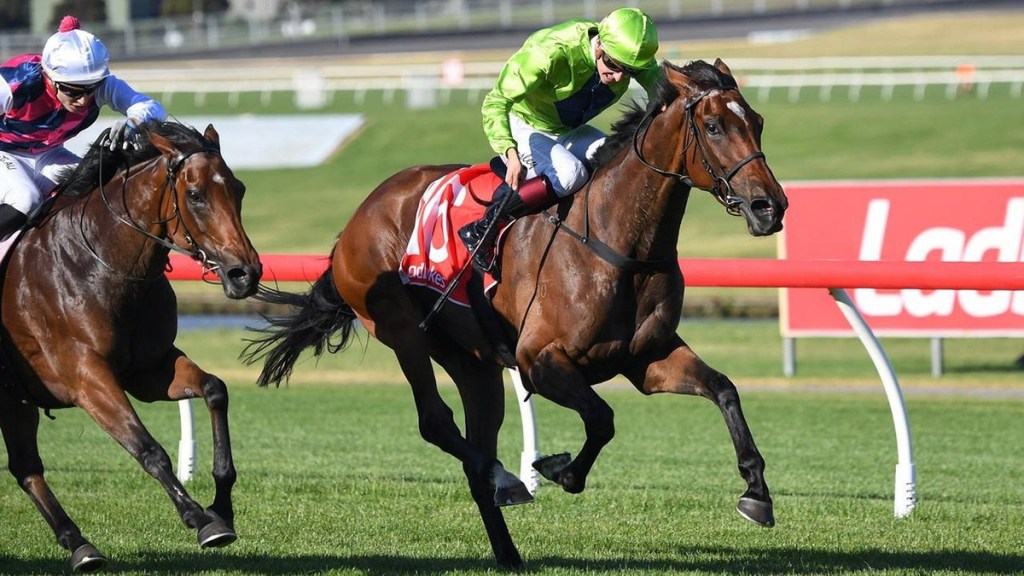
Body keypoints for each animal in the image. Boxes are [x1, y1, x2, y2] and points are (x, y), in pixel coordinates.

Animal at [0, 120, 262, 572]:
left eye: (239, 188)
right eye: (196, 195)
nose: (245, 273)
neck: (101, 263)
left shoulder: (149, 369)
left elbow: (215, 390)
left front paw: (221, 507)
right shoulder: (87, 378)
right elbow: (149, 449)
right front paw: (198, 517)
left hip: (14, 399)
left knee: (26, 468)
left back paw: (79, 545)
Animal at [244, 59, 787, 568]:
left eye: (758, 122)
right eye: (713, 126)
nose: (770, 206)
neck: (615, 239)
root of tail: (358, 217)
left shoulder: (647, 359)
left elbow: (724, 389)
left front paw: (756, 493)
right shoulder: (539, 361)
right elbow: (602, 418)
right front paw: (558, 470)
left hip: (473, 363)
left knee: (473, 447)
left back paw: (507, 546)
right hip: (404, 332)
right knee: (436, 422)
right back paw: (507, 479)